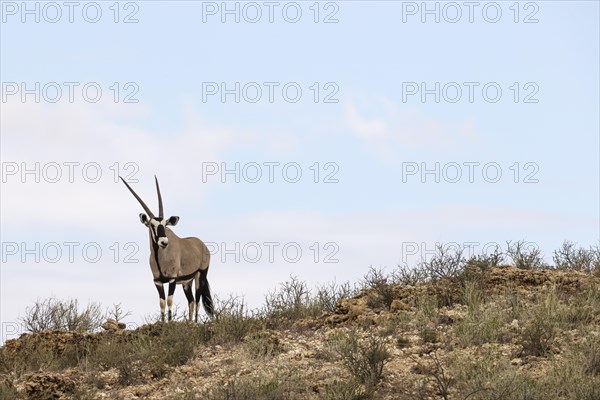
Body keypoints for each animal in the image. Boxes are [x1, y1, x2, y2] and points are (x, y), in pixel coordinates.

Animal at [119, 176, 213, 322]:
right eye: (152, 225)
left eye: (165, 224)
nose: (164, 242)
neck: (160, 256)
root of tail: (202, 244)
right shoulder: (157, 281)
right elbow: (162, 302)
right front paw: (163, 322)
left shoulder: (172, 279)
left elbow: (169, 301)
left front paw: (169, 322)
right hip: (187, 282)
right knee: (191, 301)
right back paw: (189, 322)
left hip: (200, 275)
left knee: (197, 300)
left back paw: (195, 322)